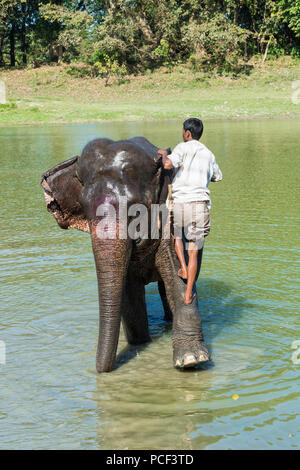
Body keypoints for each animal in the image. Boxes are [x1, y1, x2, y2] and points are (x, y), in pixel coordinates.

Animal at [41, 135, 210, 370]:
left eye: (135, 210)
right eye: (84, 207)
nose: (98, 372)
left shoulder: (169, 218)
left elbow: (180, 275)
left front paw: (191, 360)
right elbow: (128, 291)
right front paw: (139, 343)